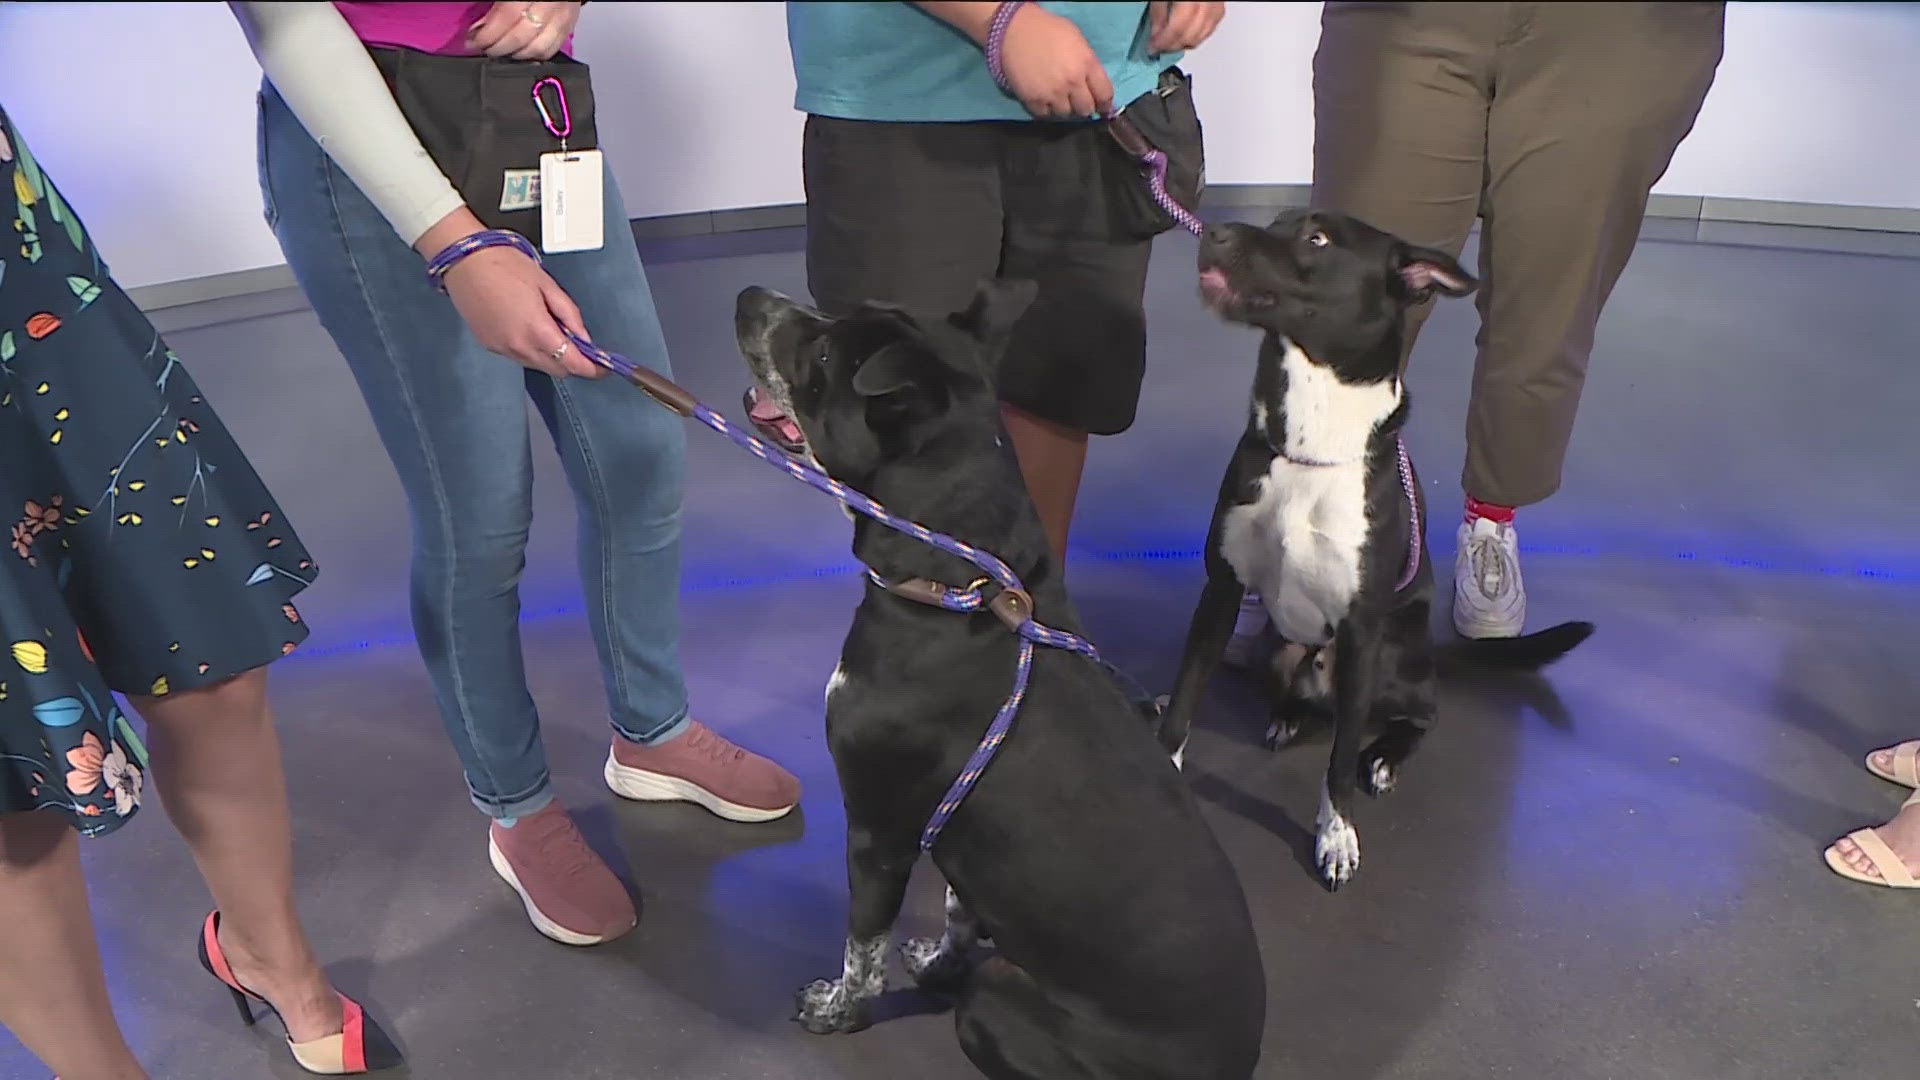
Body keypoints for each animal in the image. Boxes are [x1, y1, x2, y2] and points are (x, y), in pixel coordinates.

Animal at [741, 282, 1267, 1068]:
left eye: (825, 352)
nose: (750, 297)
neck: (965, 577)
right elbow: (960, 909)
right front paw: (937, 962)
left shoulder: (877, 829)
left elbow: (862, 948)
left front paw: (838, 1012)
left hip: (997, 999)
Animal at [1159, 212, 1597, 891]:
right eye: (1278, 222)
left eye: (1316, 239)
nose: (1214, 231)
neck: (1310, 442)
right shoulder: (1221, 591)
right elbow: (1183, 700)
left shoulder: (1362, 629)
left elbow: (1340, 761)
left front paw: (1335, 834)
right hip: (1276, 645)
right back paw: (1287, 715)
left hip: (1388, 659)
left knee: (1416, 716)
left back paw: (1387, 754)